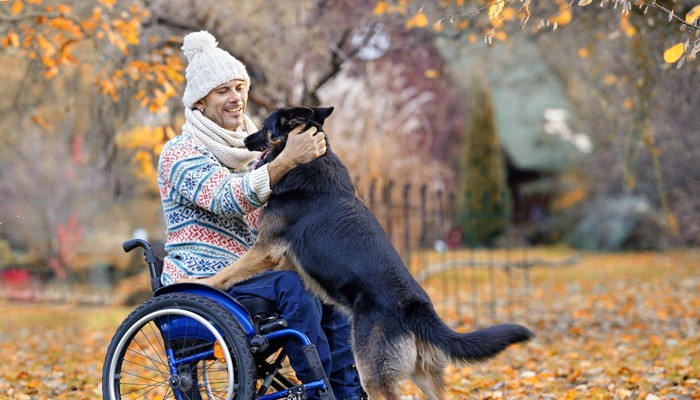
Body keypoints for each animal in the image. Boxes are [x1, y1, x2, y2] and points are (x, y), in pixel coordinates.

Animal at [200, 107, 532, 400]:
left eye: (265, 128)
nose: (244, 140)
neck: (309, 163)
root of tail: (417, 308)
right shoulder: (285, 260)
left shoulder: (266, 250)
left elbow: (225, 274)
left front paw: (196, 285)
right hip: (424, 376)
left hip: (373, 375)